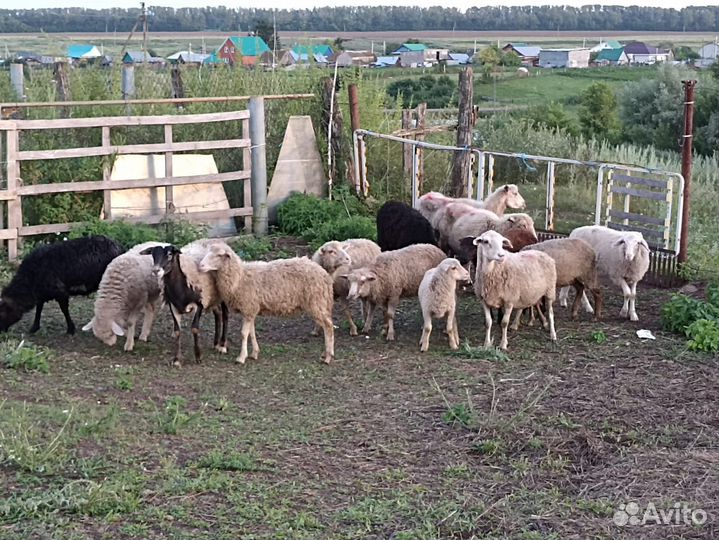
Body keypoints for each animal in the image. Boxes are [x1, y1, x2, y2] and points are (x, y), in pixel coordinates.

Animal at [198, 242, 335, 365]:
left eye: (219, 255)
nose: (200, 265)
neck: (239, 278)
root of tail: (324, 274)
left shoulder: (248, 308)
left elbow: (243, 334)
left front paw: (241, 357)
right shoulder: (251, 310)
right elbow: (251, 333)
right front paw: (254, 353)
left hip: (316, 301)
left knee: (328, 326)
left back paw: (328, 356)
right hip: (319, 302)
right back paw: (325, 354)